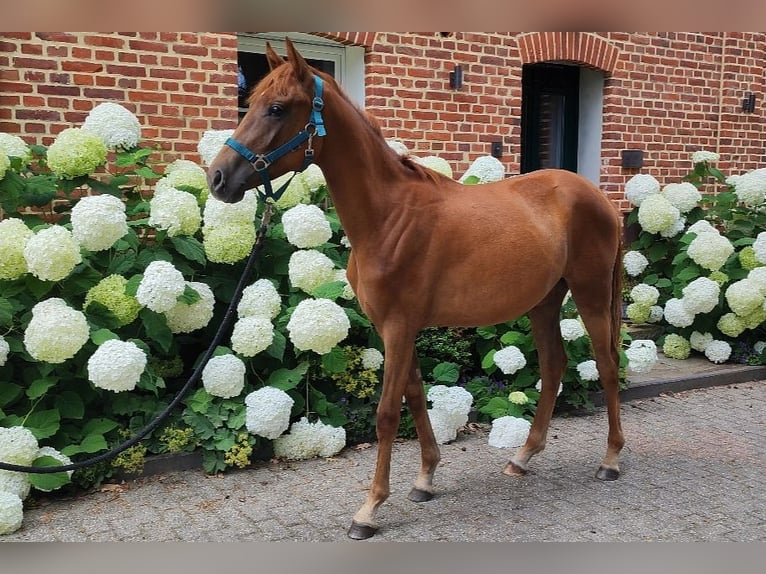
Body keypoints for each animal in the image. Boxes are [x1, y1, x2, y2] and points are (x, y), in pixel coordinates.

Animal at [208, 39, 624, 540]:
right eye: (249, 102)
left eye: (276, 108)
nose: (217, 178)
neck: (389, 218)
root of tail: (600, 198)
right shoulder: (393, 328)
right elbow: (414, 395)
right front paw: (424, 479)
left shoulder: (401, 326)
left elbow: (388, 412)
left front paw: (369, 509)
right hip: (544, 302)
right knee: (555, 365)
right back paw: (522, 458)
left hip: (590, 294)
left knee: (606, 365)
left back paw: (610, 460)